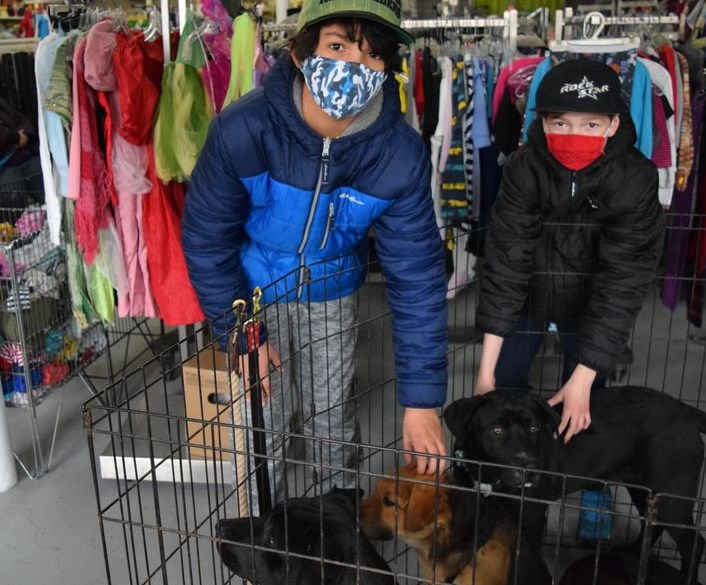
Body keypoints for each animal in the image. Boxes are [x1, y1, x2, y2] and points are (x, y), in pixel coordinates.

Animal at [442, 386, 704, 576]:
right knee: (653, 524)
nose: (530, 470)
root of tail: (684, 410)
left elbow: (524, 557)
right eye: (496, 430)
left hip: (672, 497)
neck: (488, 475)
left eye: (534, 428)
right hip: (646, 491)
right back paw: (633, 553)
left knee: (694, 543)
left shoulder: (531, 517)